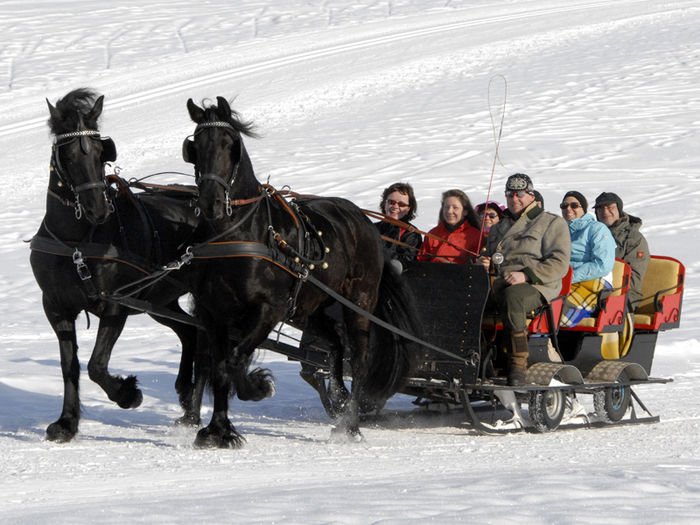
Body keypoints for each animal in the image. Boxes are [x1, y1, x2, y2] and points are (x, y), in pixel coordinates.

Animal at [30, 88, 205, 440]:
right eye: (67, 155)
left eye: (101, 152)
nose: (98, 209)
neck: (76, 245)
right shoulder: (56, 306)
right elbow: (69, 366)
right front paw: (66, 423)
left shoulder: (115, 306)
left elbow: (96, 365)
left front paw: (128, 394)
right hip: (158, 300)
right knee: (190, 333)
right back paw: (186, 398)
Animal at [183, 97, 418, 446]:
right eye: (195, 146)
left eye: (230, 144)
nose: (211, 202)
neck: (236, 235)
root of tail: (364, 222)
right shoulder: (213, 314)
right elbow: (219, 368)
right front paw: (218, 430)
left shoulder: (268, 310)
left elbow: (234, 360)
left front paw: (259, 387)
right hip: (313, 307)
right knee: (335, 348)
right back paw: (339, 398)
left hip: (358, 302)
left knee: (359, 360)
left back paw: (350, 424)